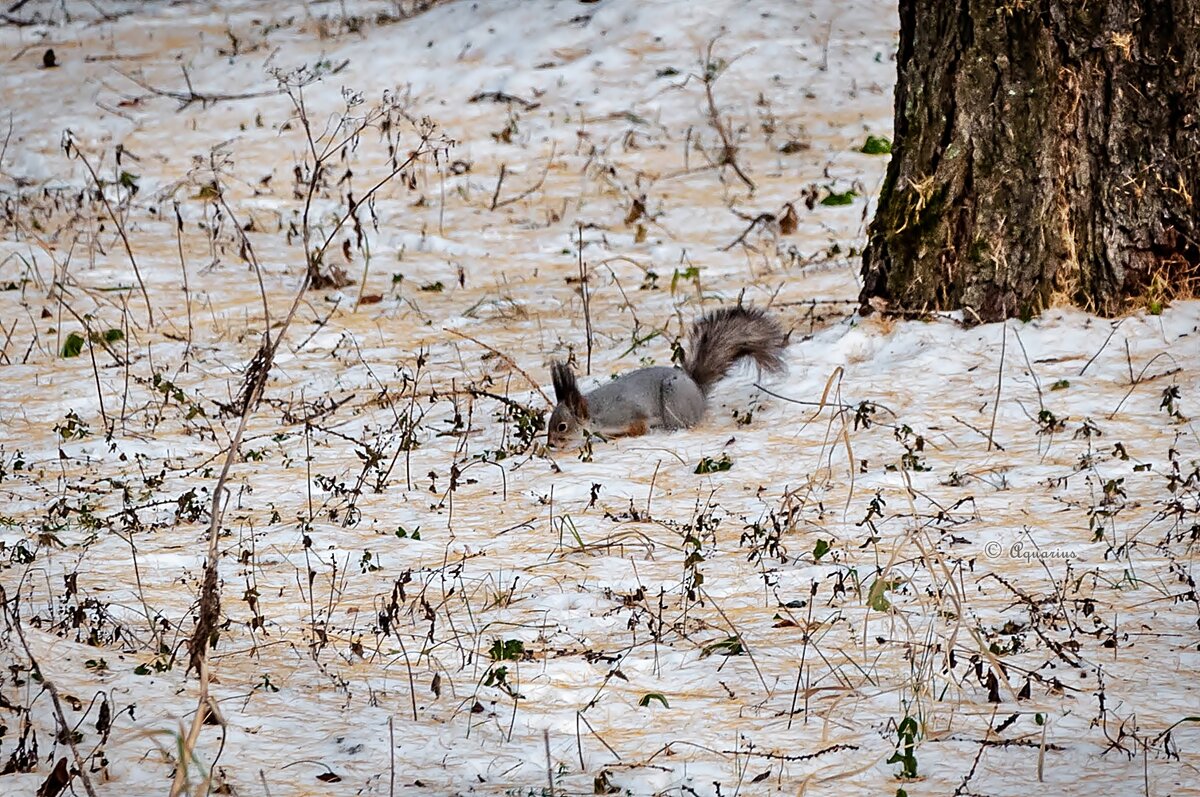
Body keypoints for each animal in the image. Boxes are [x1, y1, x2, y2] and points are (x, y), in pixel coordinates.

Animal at [547, 302, 787, 448]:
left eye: (562, 426)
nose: (550, 444)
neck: (596, 411)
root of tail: (697, 390)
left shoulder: (629, 415)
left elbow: (638, 429)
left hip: (674, 401)